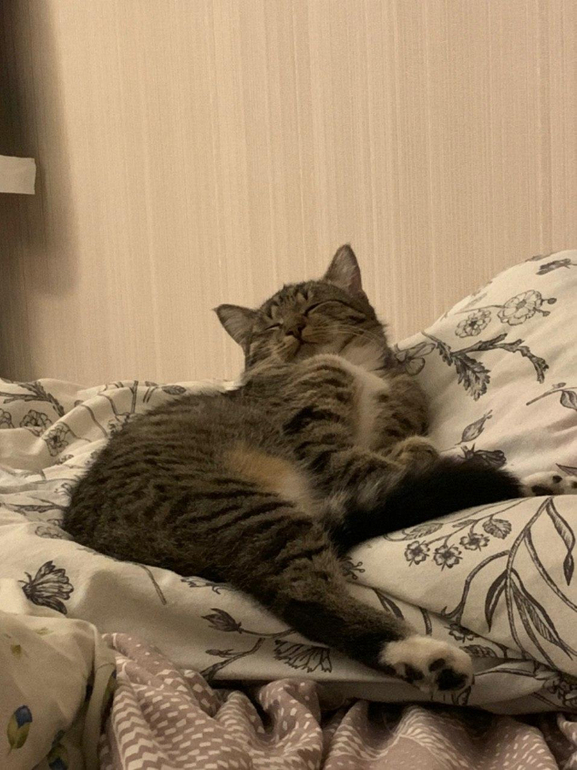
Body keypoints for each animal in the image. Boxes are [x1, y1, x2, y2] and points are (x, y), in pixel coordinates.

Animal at [63, 245, 566, 693]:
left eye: (315, 304)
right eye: (271, 325)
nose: (293, 328)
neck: (352, 367)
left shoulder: (392, 419)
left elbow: (405, 451)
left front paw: (416, 449)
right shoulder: (321, 445)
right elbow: (392, 460)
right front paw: (422, 454)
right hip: (244, 508)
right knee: (304, 597)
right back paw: (425, 655)